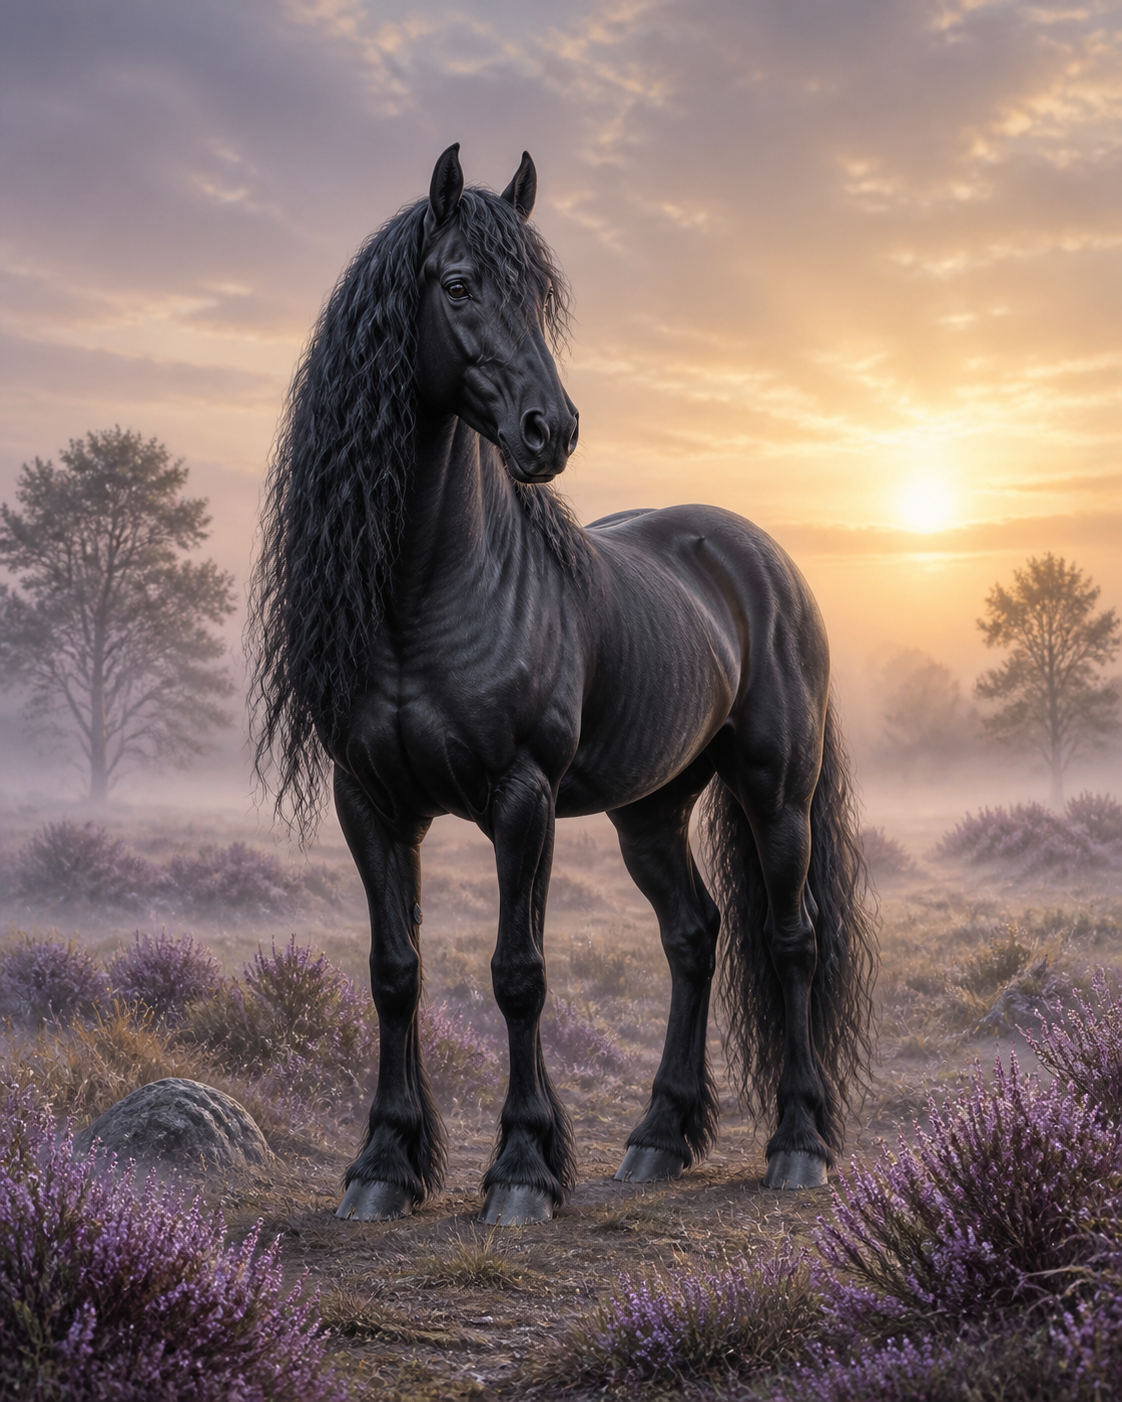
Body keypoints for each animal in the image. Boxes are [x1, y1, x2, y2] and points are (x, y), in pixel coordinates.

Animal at [249, 144, 875, 1226]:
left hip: (776, 790)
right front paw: (383, 1164)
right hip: (650, 810)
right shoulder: (369, 802)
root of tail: (760, 553)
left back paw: (799, 1144)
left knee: (793, 939)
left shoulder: (522, 799)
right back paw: (657, 1137)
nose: (553, 431)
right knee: (694, 936)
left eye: (539, 298)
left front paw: (522, 1169)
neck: (427, 592)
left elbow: (519, 974)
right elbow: (394, 971)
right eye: (459, 285)